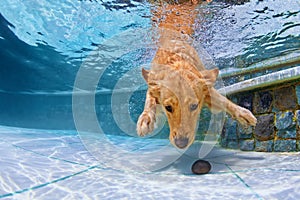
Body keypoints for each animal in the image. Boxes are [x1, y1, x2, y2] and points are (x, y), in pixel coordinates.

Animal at [136, 0, 255, 149]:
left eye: (194, 106)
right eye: (168, 107)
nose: (181, 144)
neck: (178, 62)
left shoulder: (206, 87)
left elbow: (223, 100)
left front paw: (243, 113)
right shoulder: (153, 82)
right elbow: (150, 101)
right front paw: (145, 119)